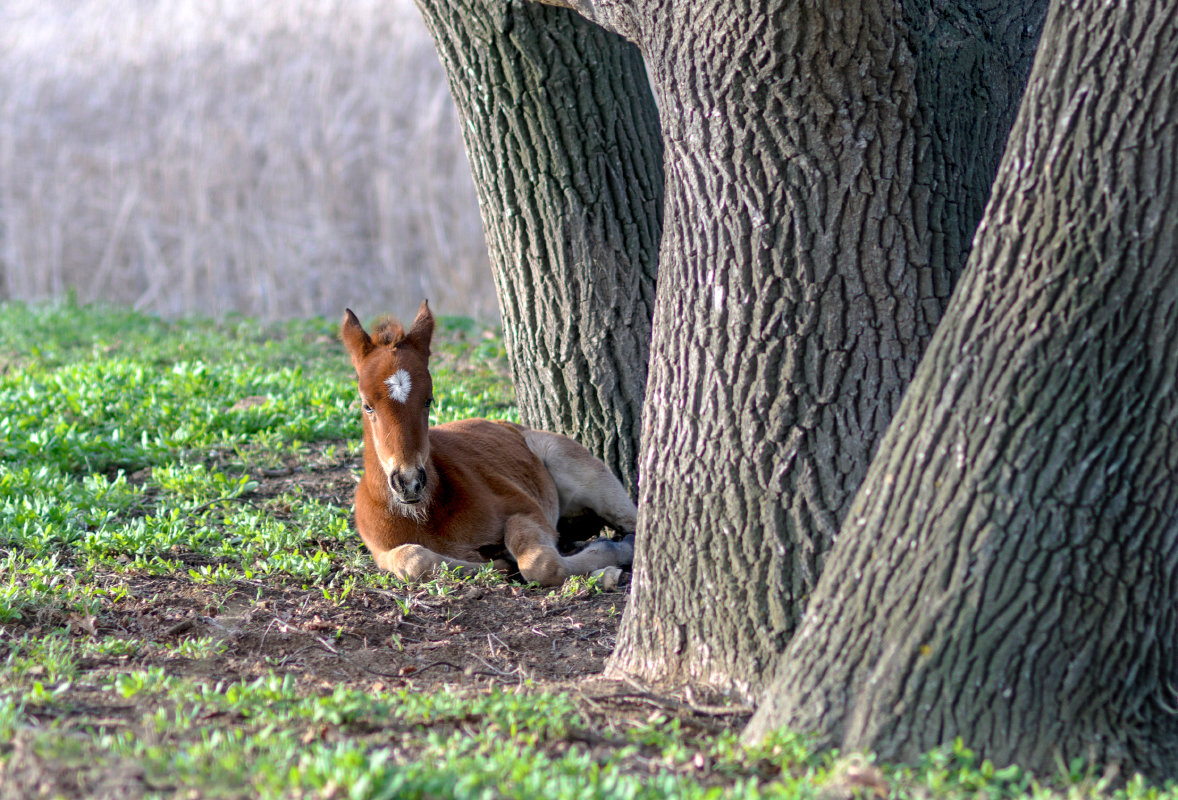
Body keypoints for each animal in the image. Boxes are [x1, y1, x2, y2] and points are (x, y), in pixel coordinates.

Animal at [341, 303, 636, 584]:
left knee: (633, 521)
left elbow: (540, 563)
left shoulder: (526, 509)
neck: (424, 515)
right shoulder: (381, 551)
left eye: (428, 400)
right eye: (367, 405)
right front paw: (496, 564)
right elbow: (415, 560)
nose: (409, 481)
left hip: (577, 466)